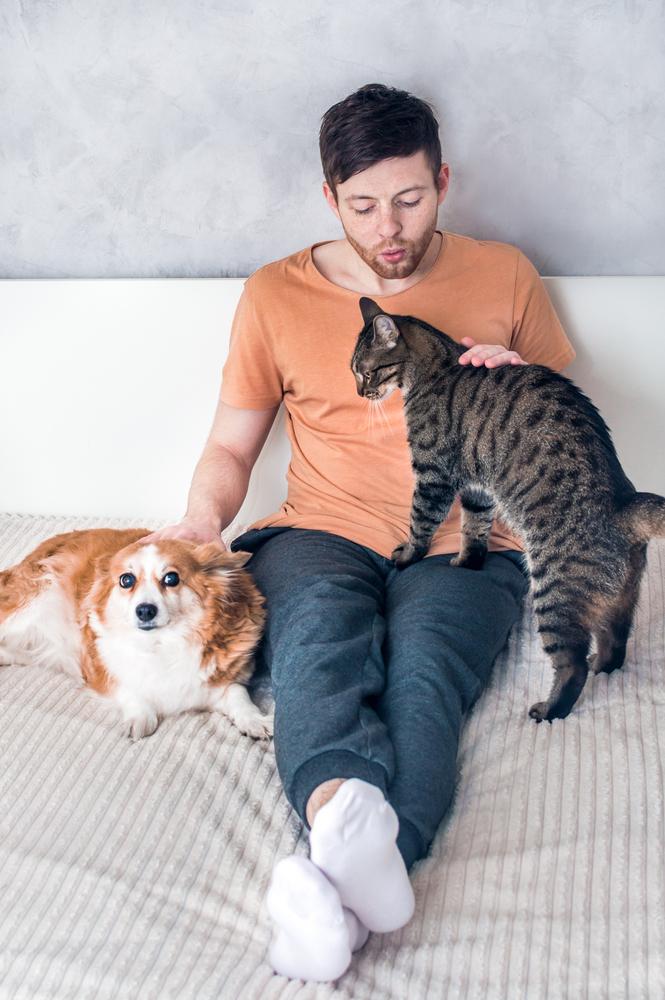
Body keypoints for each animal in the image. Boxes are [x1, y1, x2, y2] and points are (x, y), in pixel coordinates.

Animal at [0, 528, 272, 740]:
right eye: (126, 580)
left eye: (171, 578)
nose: (145, 611)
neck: (161, 643)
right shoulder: (104, 672)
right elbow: (130, 690)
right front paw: (139, 717)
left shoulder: (219, 682)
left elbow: (237, 693)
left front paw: (254, 719)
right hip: (26, 608)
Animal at [350, 292, 660, 724]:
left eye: (365, 373)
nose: (358, 394)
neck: (437, 369)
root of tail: (625, 506)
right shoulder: (476, 487)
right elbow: (474, 529)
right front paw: (467, 562)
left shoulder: (434, 476)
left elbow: (420, 524)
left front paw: (407, 556)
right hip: (621, 599)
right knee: (615, 640)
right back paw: (603, 666)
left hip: (552, 588)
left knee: (572, 665)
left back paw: (549, 710)